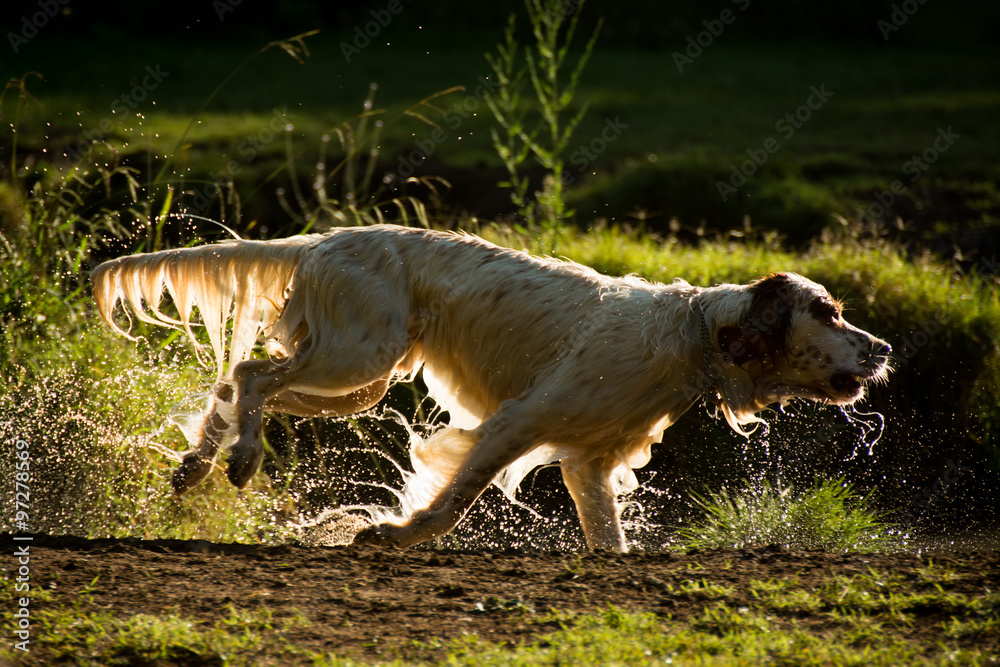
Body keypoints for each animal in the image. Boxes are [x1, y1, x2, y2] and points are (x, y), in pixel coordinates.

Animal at [94, 226, 892, 552]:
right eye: (829, 311)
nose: (884, 349)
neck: (691, 335)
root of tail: (323, 238)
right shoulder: (518, 421)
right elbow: (453, 503)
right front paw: (392, 533)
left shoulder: (587, 463)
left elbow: (609, 542)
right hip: (355, 357)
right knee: (251, 373)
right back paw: (237, 458)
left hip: (359, 377)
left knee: (239, 380)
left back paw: (197, 463)